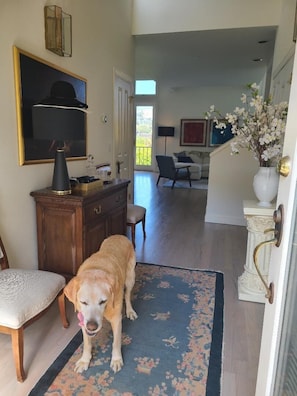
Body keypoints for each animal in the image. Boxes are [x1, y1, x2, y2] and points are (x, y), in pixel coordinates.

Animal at [64, 235, 138, 374]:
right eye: (83, 302)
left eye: (103, 301)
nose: (92, 326)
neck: (96, 269)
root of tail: (119, 235)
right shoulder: (83, 319)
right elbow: (87, 343)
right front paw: (84, 360)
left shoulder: (116, 319)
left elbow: (116, 342)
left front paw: (116, 359)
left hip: (130, 277)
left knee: (127, 294)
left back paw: (130, 311)